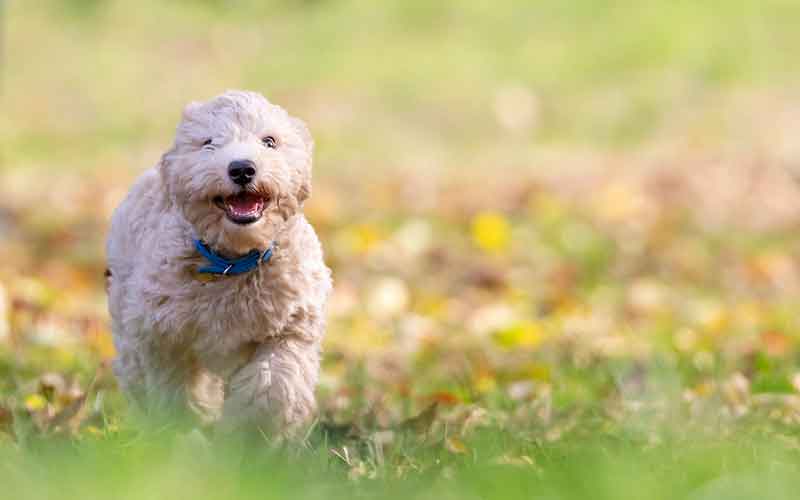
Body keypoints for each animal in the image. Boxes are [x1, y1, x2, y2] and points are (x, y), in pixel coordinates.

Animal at [106, 92, 332, 436]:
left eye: (269, 141)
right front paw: (185, 434)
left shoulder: (291, 326)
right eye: (208, 143)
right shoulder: (163, 335)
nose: (242, 168)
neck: (234, 261)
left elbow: (274, 385)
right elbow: (177, 392)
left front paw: (247, 437)